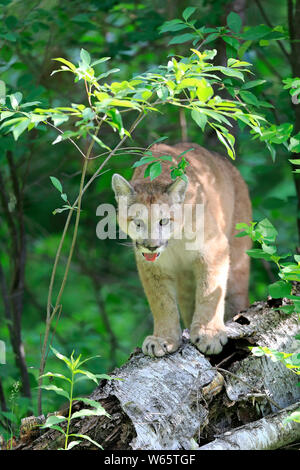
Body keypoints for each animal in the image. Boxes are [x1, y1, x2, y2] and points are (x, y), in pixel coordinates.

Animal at [112, 142, 251, 356]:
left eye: (164, 221)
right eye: (138, 222)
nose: (151, 246)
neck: (174, 242)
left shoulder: (214, 248)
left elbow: (210, 291)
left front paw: (210, 334)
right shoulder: (152, 266)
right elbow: (161, 302)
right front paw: (164, 339)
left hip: (237, 263)